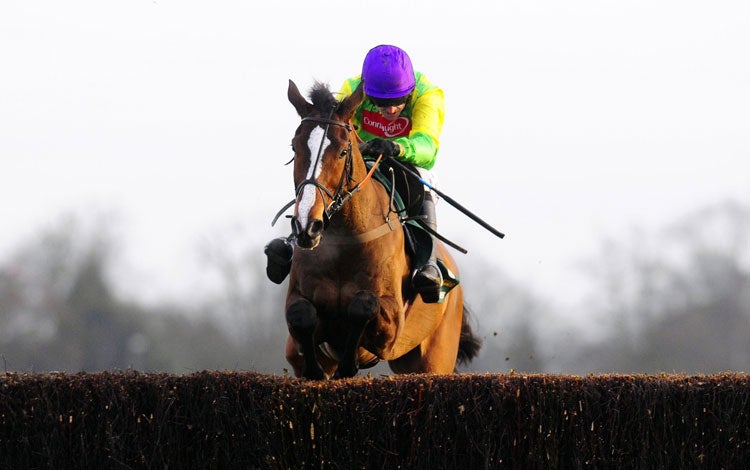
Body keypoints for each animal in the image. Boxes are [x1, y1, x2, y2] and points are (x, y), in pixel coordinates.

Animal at [282, 80, 482, 378]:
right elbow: (301, 316)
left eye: (343, 151)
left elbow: (363, 305)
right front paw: (316, 369)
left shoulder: (391, 325)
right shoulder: (296, 327)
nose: (308, 226)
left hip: (434, 358)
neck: (344, 244)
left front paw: (348, 364)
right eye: (295, 148)